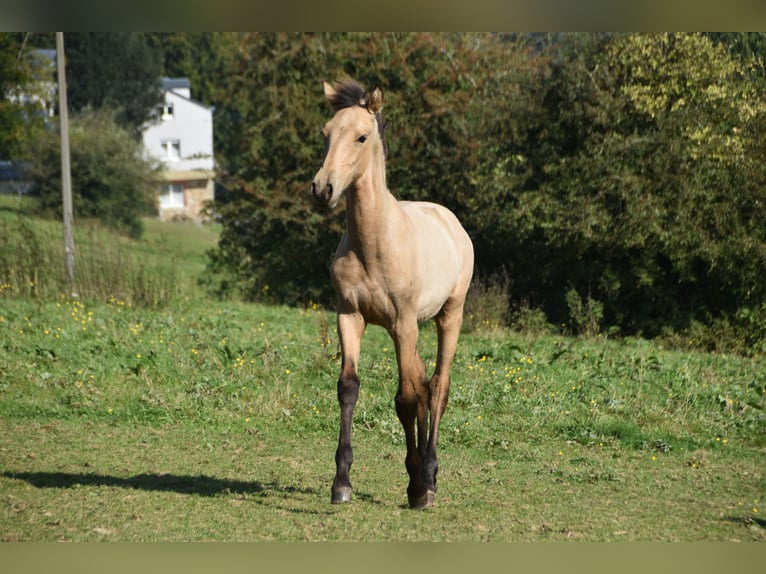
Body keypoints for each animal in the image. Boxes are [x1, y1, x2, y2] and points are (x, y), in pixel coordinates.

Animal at [312, 79, 474, 510]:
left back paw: (429, 477)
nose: (322, 189)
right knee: (422, 384)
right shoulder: (350, 317)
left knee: (437, 388)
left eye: (361, 136)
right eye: (326, 133)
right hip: (406, 328)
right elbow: (349, 388)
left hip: (447, 317)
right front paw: (341, 482)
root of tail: (449, 219)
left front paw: (419, 487)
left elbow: (405, 398)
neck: (374, 243)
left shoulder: (403, 323)